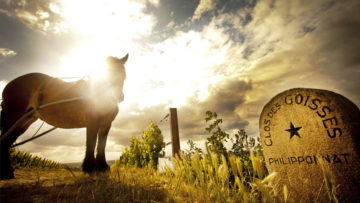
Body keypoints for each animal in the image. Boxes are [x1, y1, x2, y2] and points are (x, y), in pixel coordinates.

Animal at [0, 54, 129, 179]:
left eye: (123, 75)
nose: (118, 97)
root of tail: (8, 85)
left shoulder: (106, 124)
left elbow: (102, 145)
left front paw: (102, 167)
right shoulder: (92, 122)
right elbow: (91, 143)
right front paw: (90, 167)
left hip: (24, 121)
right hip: (14, 118)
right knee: (4, 140)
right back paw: (6, 172)